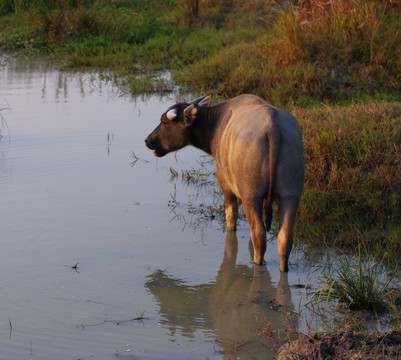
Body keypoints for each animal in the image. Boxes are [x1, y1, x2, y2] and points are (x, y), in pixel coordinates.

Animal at [145, 94, 304, 272]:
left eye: (164, 122)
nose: (147, 140)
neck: (216, 125)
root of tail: (273, 129)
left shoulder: (225, 185)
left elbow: (231, 216)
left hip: (251, 195)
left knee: (259, 234)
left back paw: (257, 264)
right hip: (291, 195)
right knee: (285, 237)